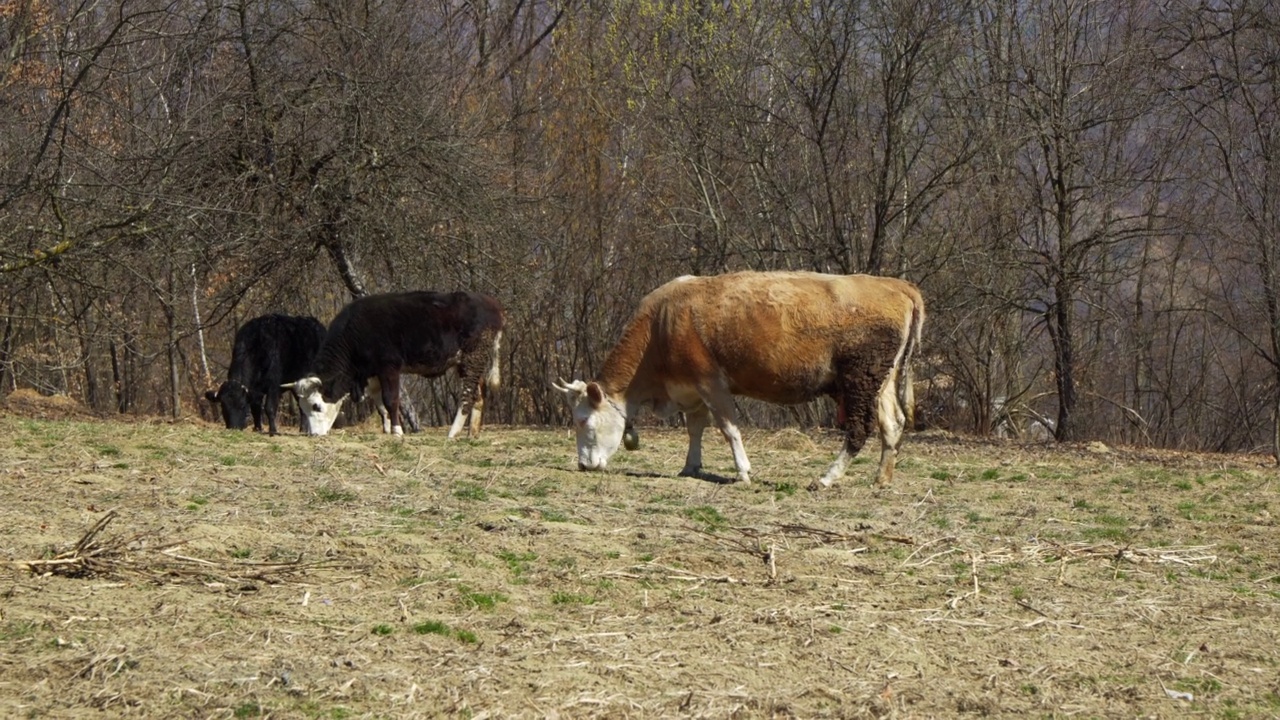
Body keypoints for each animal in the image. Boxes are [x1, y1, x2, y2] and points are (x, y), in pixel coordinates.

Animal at [285, 288, 504, 435]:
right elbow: (380, 404)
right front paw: (388, 429)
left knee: (466, 397)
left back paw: (453, 433)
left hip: (472, 359)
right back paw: (471, 434)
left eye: (316, 406)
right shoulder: (372, 374)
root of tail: (493, 305)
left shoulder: (389, 367)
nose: (313, 435)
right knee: (477, 395)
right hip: (467, 363)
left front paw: (397, 431)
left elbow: (391, 399)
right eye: (302, 407)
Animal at [555, 269, 926, 486]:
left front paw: (743, 471)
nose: (584, 465)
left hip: (858, 379)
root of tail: (897, 284)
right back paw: (881, 479)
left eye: (583, 420)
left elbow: (728, 428)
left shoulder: (711, 382)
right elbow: (695, 428)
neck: (662, 324)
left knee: (859, 429)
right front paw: (690, 467)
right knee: (892, 424)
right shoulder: (690, 388)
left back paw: (826, 478)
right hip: (881, 380)